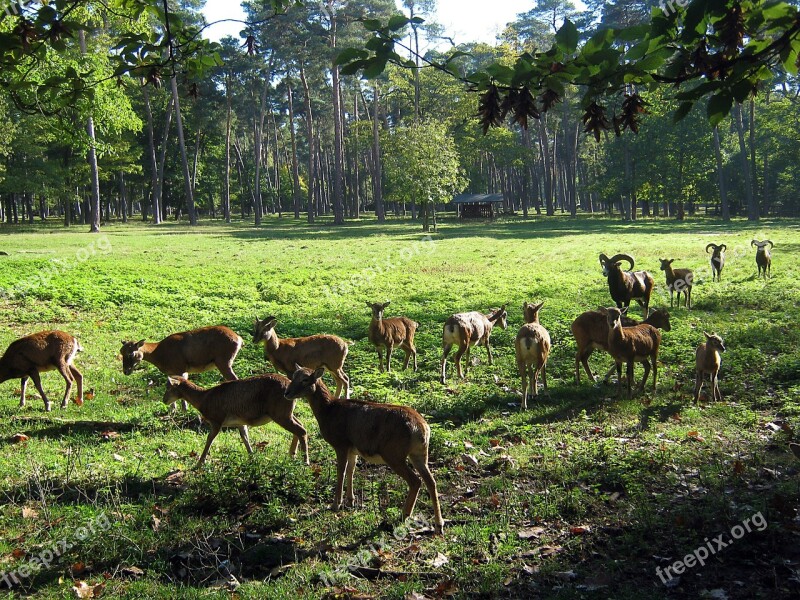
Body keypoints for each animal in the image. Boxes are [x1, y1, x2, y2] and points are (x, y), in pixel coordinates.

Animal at [164, 376, 308, 468]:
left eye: (169, 388)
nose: (164, 400)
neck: (204, 398)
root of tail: (290, 388)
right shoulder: (240, 422)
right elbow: (245, 437)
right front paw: (252, 457)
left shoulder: (217, 420)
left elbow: (209, 439)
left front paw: (199, 463)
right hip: (286, 413)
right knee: (300, 426)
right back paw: (292, 455)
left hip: (280, 414)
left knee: (301, 430)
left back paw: (305, 461)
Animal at [284, 364, 444, 532]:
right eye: (293, 376)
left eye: (305, 379)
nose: (286, 392)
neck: (328, 412)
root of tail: (422, 429)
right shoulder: (352, 448)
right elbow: (351, 470)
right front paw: (350, 501)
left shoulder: (341, 443)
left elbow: (341, 471)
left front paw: (335, 504)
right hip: (419, 453)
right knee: (431, 481)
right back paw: (439, 524)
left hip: (393, 453)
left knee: (415, 480)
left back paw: (404, 515)